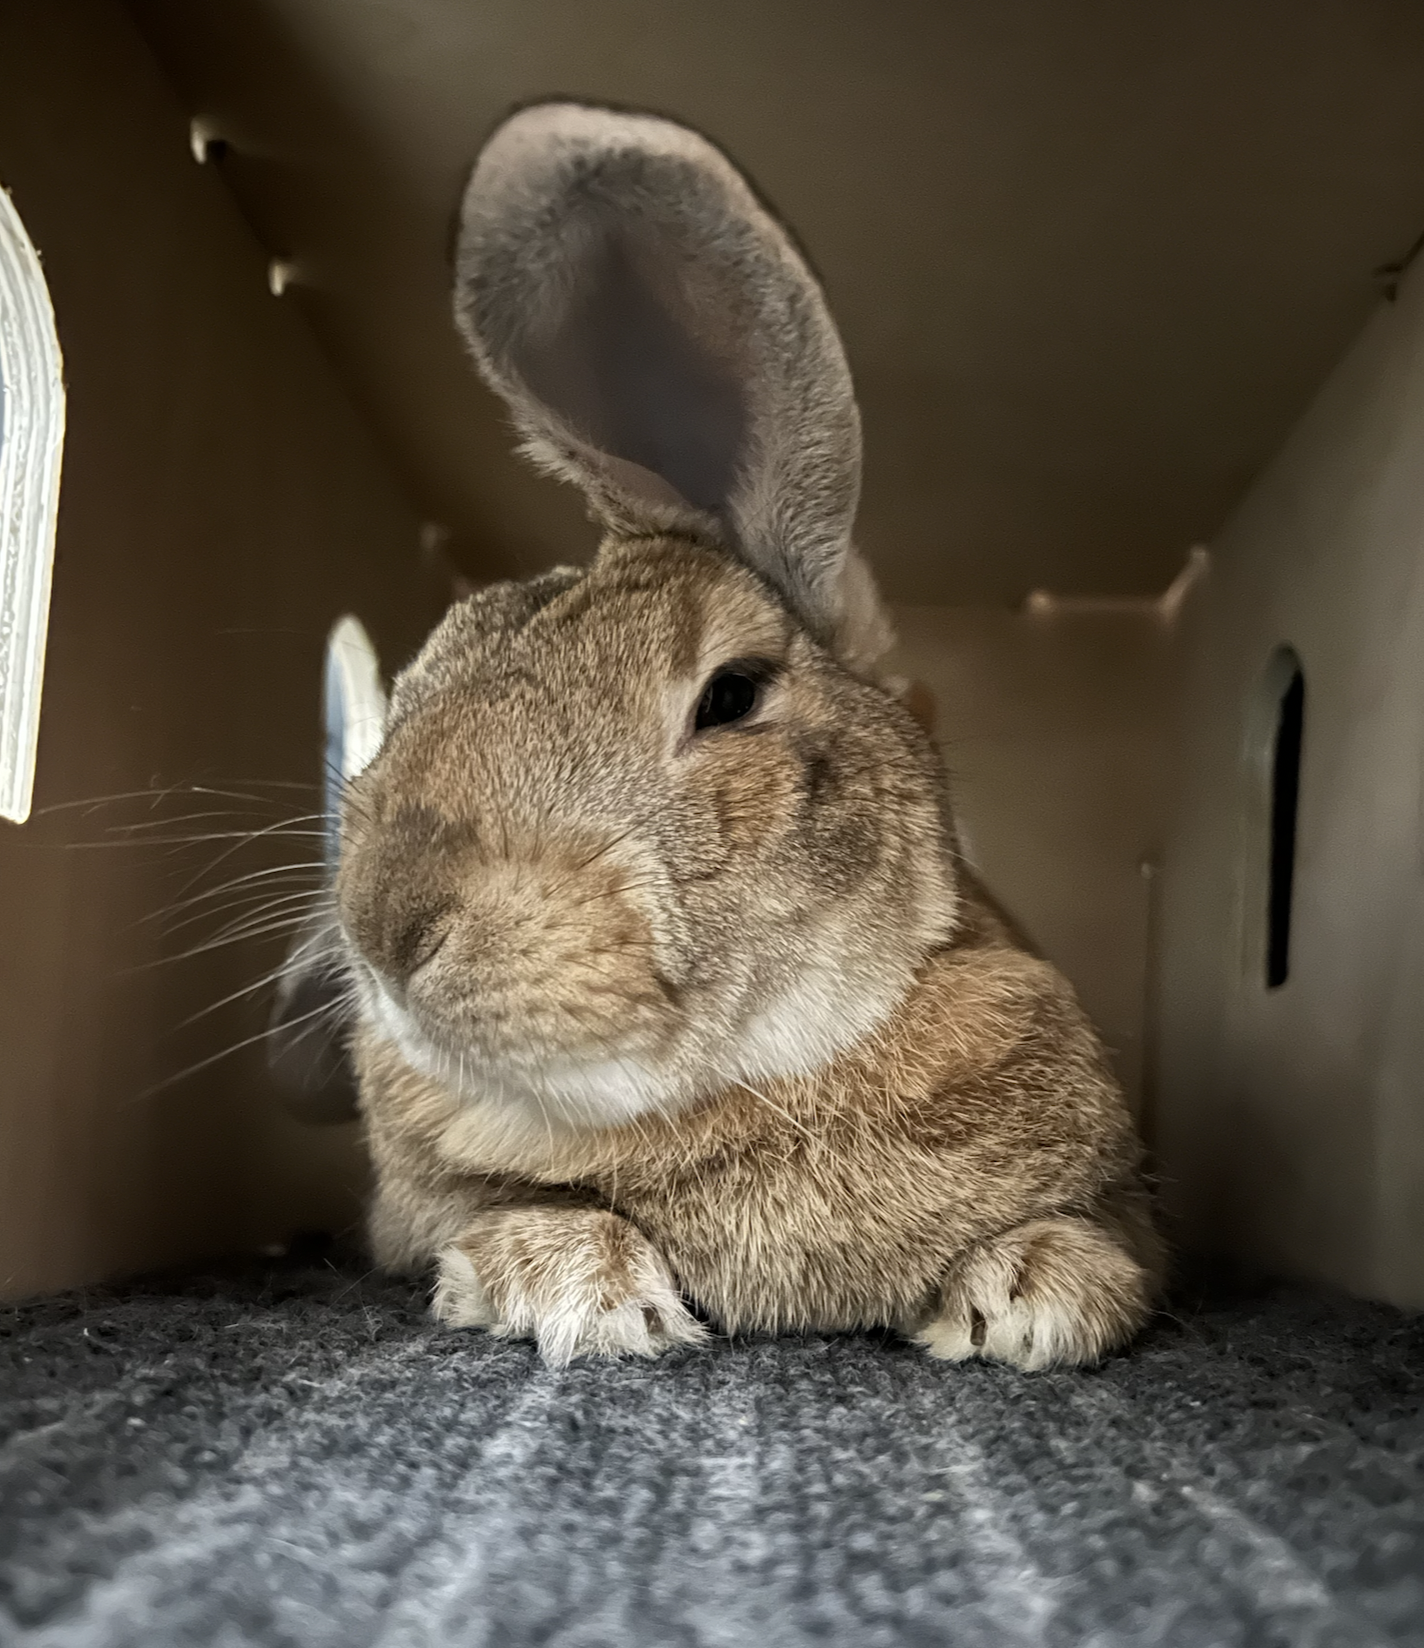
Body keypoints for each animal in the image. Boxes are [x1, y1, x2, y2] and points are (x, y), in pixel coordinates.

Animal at [320, 100, 1163, 1370]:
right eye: (420, 676)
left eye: (728, 695)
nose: (387, 921)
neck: (756, 1075)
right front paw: (574, 1289)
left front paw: (1035, 1297)